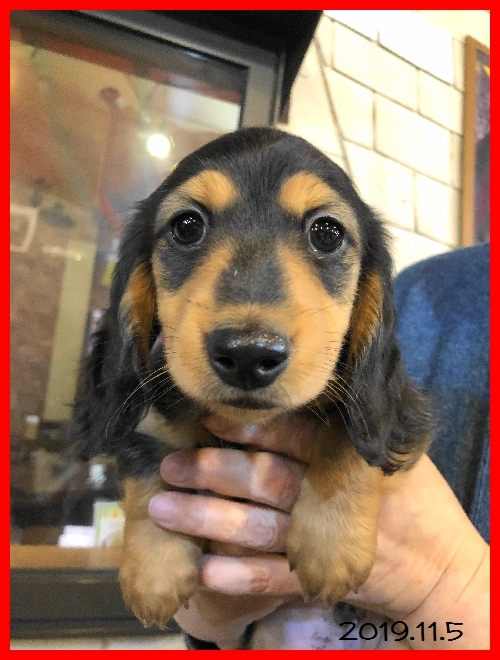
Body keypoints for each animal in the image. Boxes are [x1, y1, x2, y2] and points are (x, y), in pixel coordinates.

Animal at [73, 127, 431, 629]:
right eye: (187, 226)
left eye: (327, 233)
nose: (248, 354)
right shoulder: (150, 414)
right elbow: (148, 472)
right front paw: (154, 571)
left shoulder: (385, 412)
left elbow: (352, 432)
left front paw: (331, 544)